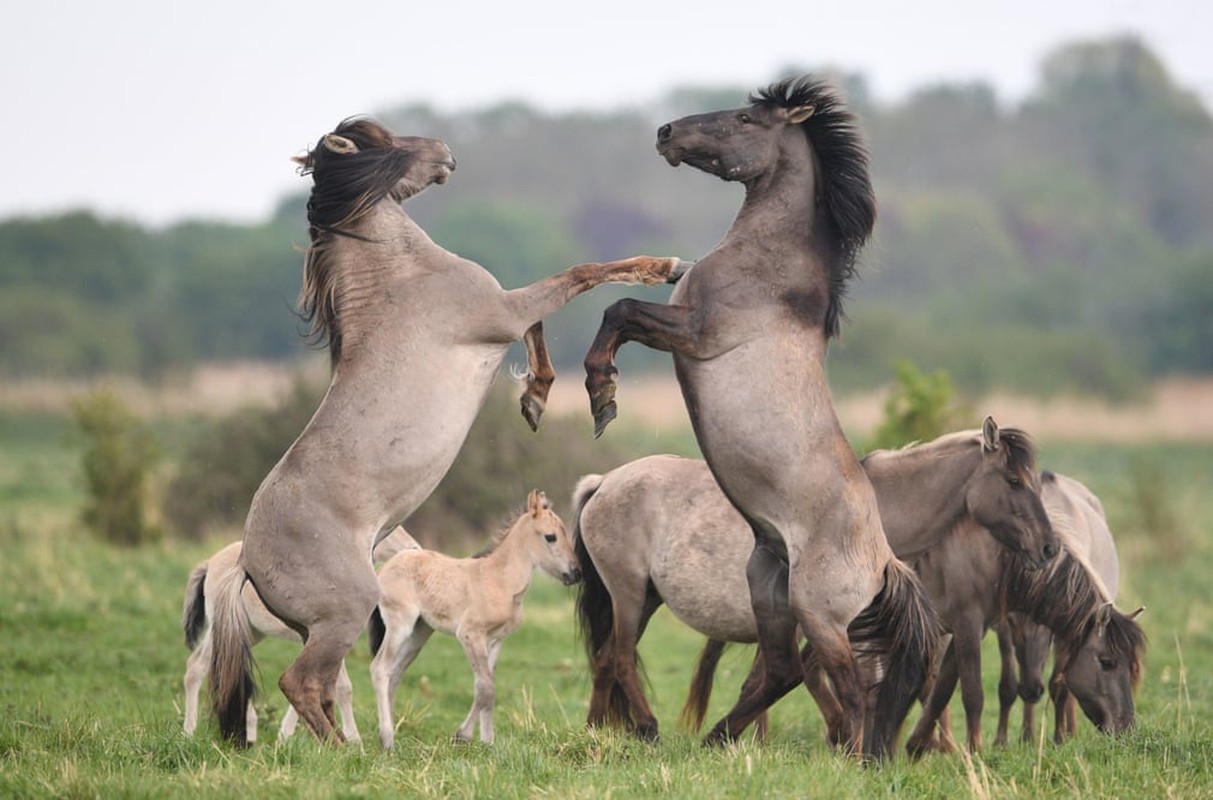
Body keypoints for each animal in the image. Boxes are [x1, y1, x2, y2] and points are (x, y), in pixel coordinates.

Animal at [178, 528, 417, 741]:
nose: (413, 548)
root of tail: (210, 563)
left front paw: (284, 737)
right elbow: (342, 688)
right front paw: (355, 741)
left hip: (251, 632)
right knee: (196, 666)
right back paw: (189, 732)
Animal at [366, 487, 579, 751]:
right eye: (550, 537)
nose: (576, 573)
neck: (501, 581)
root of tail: (383, 570)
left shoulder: (495, 641)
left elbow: (487, 688)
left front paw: (487, 742)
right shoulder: (470, 635)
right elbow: (485, 688)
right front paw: (463, 737)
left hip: (418, 633)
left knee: (394, 674)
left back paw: (388, 733)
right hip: (400, 625)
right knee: (380, 668)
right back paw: (387, 740)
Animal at [584, 73, 936, 756]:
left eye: (747, 119)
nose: (666, 132)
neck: (769, 261)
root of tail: (885, 565)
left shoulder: (692, 332)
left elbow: (620, 311)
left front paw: (600, 392)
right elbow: (620, 311)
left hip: (815, 611)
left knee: (845, 684)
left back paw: (850, 757)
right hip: (767, 587)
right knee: (780, 670)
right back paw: (714, 738)